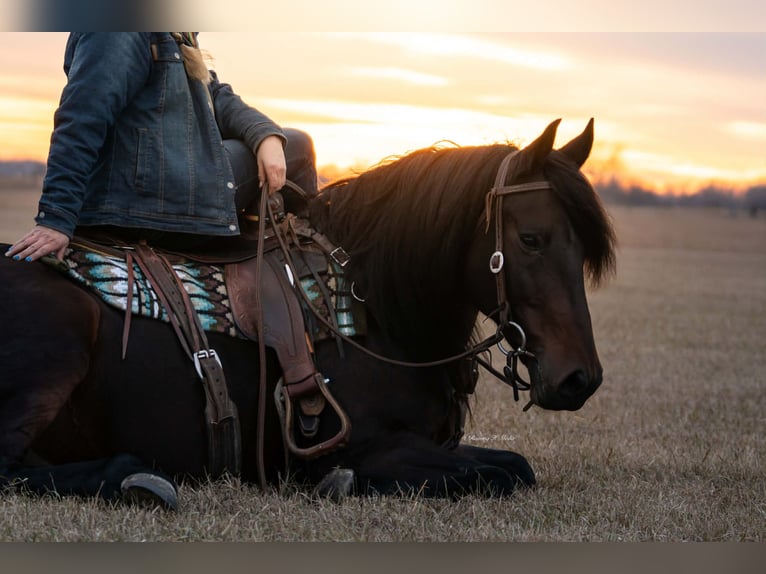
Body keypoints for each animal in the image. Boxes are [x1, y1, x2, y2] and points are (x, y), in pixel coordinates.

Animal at [0, 119, 615, 508]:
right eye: (531, 239)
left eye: (584, 249)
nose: (579, 379)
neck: (376, 308)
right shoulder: (370, 448)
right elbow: (492, 475)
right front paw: (339, 484)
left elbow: (513, 465)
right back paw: (135, 477)